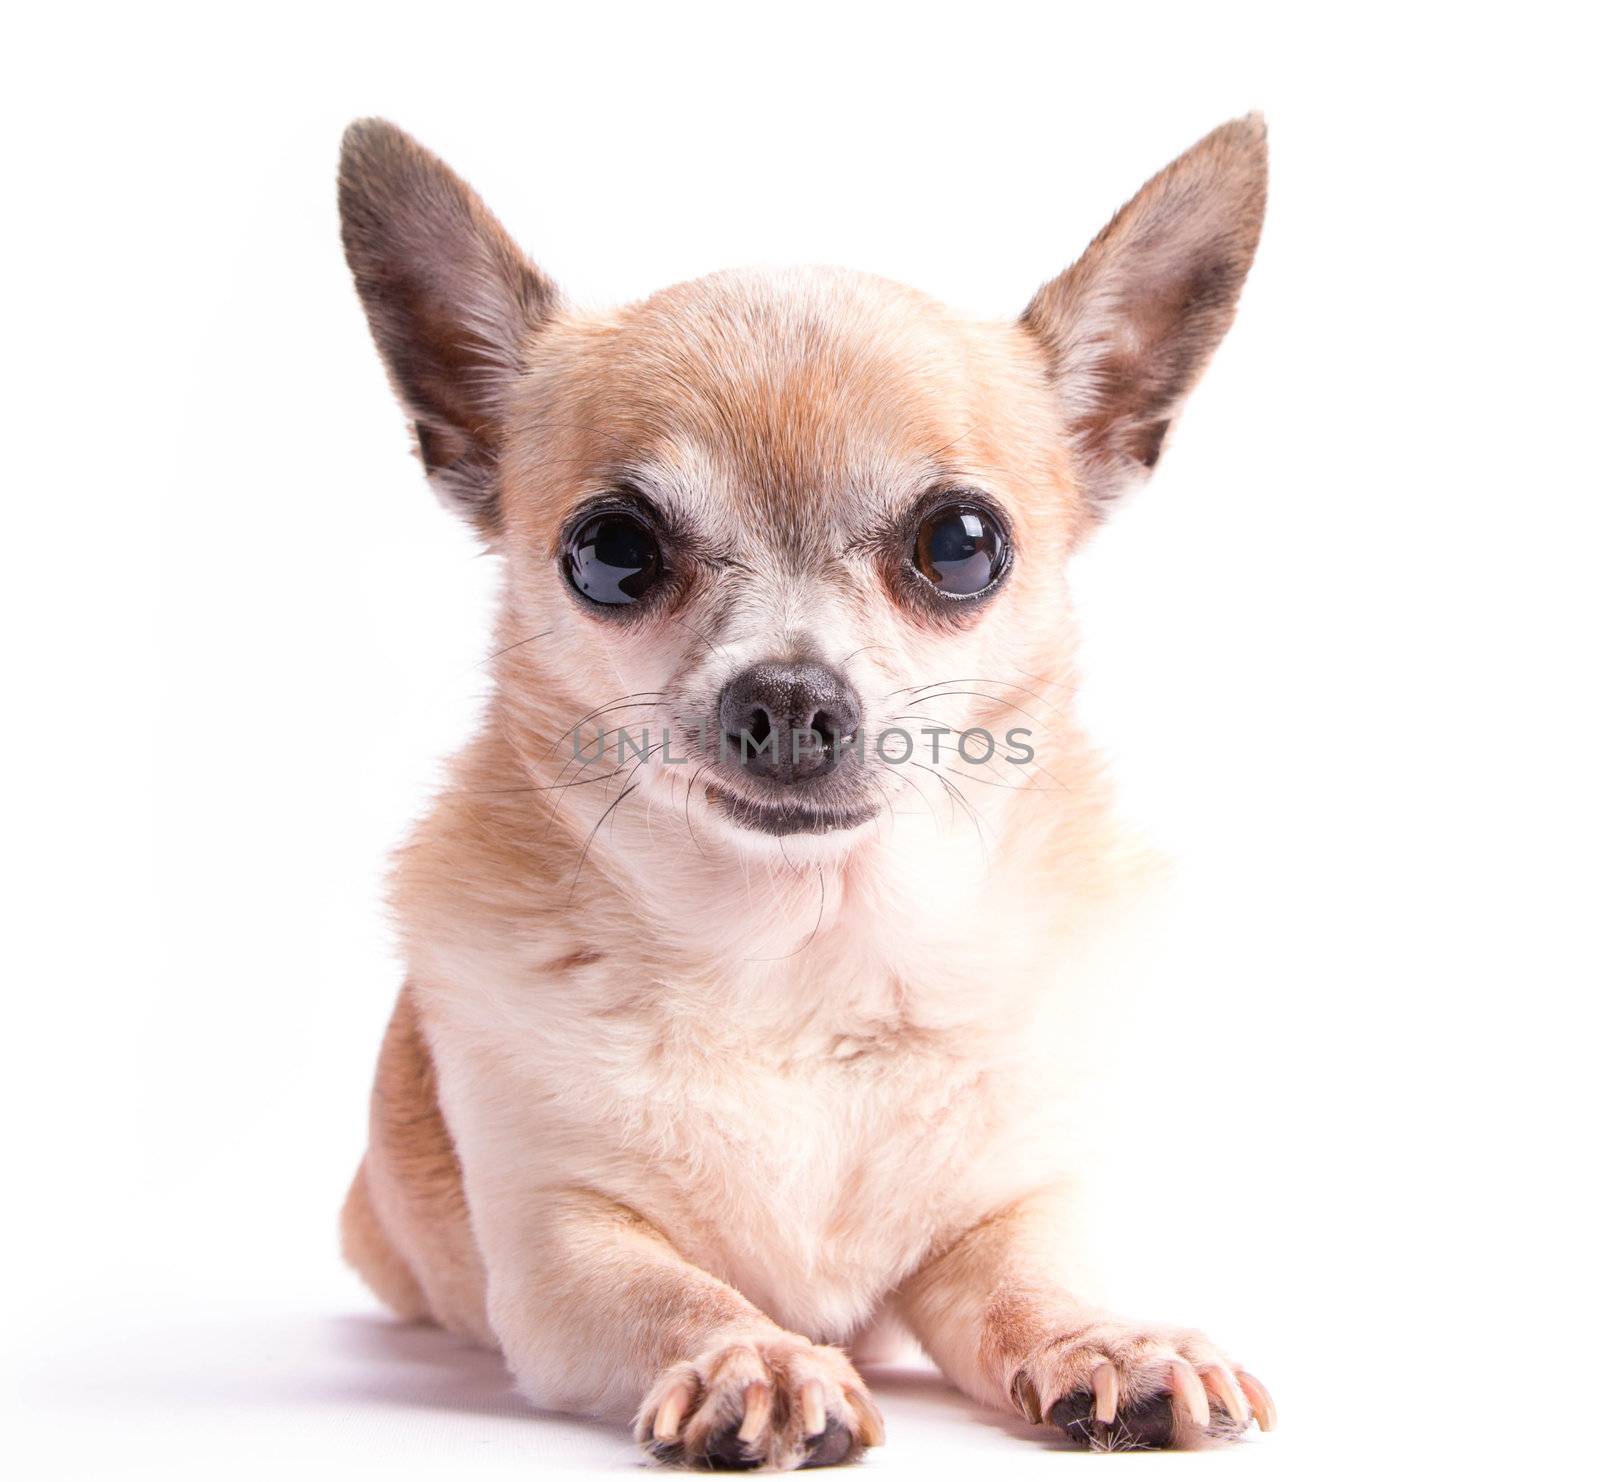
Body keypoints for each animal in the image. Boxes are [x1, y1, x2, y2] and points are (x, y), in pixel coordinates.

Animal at [337, 119, 1273, 1472]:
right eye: (610, 554)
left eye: (961, 545)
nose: (786, 698)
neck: (801, 955)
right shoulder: (559, 1248)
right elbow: (674, 1291)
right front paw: (754, 1359)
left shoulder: (995, 1218)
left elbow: (1027, 1285)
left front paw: (1107, 1340)